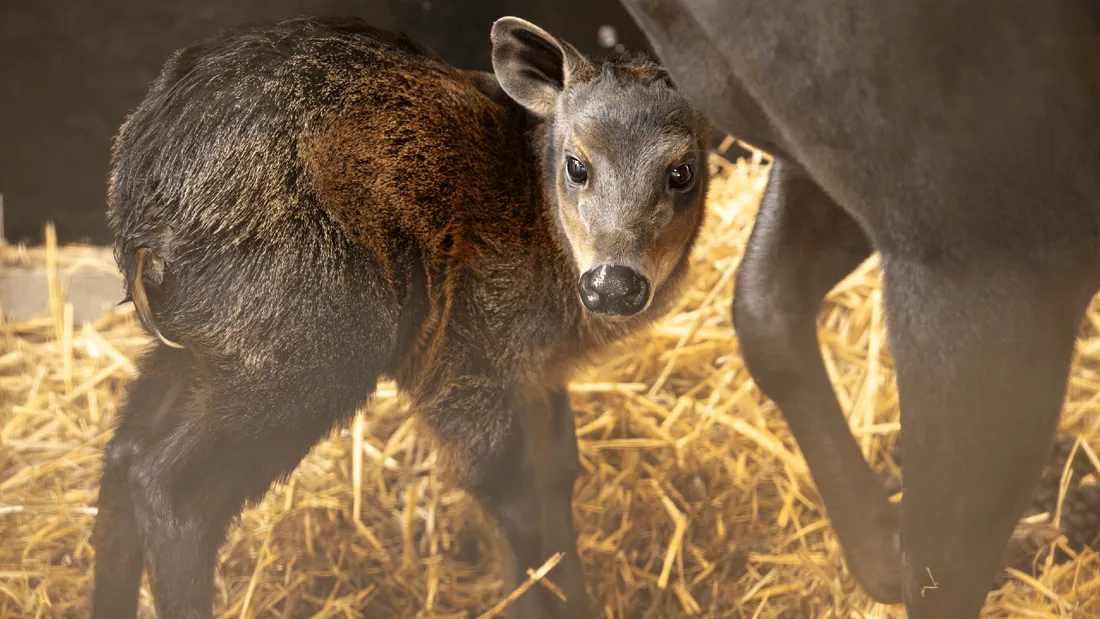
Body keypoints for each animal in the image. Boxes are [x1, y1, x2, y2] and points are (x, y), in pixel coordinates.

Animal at [92, 13, 712, 619]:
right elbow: (511, 494)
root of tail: (138, 217)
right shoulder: (467, 359)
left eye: (682, 172)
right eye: (577, 165)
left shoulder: (538, 376)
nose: (614, 283)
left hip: (206, 345)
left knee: (125, 453)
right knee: (173, 487)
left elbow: (559, 472)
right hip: (310, 339)